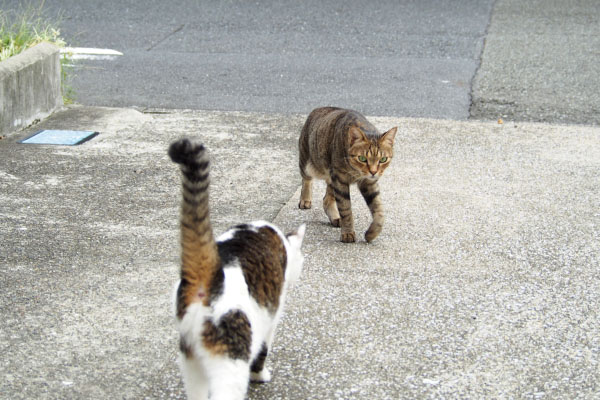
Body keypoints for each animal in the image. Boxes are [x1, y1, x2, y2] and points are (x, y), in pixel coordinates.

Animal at [171, 138, 308, 400]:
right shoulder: (271, 318)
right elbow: (263, 351)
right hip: (232, 354)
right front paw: (260, 376)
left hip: (190, 358)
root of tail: (209, 277)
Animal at [296, 106, 396, 242]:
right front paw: (348, 232)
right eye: (362, 158)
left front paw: (372, 232)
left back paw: (335, 218)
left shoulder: (369, 183)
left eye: (383, 160)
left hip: (331, 178)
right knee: (306, 179)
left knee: (326, 199)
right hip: (309, 164)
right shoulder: (340, 180)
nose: (373, 171)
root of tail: (317, 109)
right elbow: (346, 209)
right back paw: (305, 199)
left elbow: (379, 210)